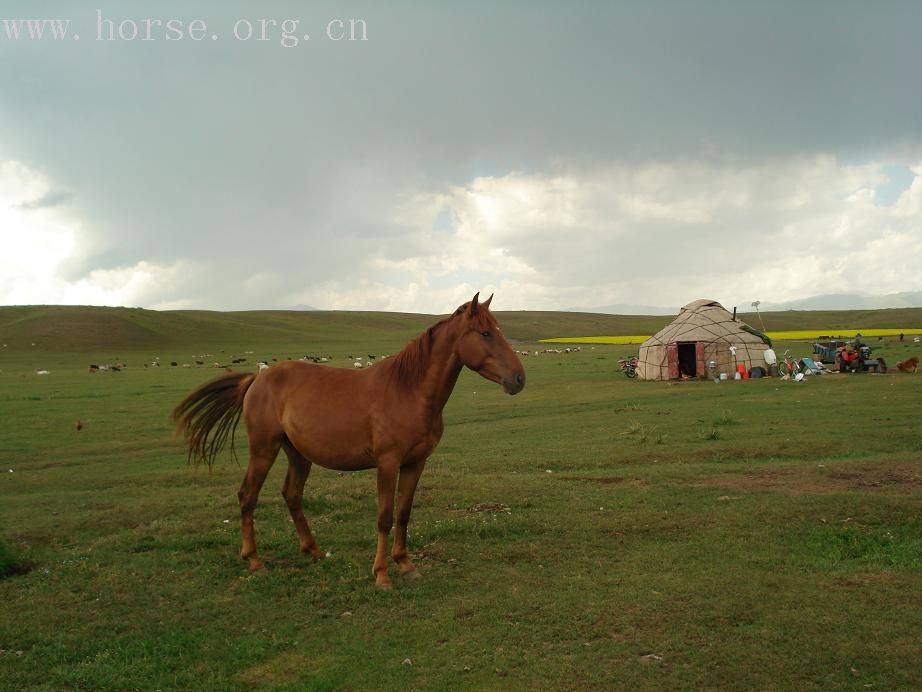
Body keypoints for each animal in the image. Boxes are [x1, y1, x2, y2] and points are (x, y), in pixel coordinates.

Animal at [169, 294, 520, 588]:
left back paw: (314, 551)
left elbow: (403, 514)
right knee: (247, 496)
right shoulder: (388, 463)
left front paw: (406, 565)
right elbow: (384, 517)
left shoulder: (415, 463)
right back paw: (255, 561)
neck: (409, 390)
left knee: (292, 495)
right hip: (263, 450)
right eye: (485, 333)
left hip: (298, 455)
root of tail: (257, 378)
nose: (519, 379)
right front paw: (382, 575)